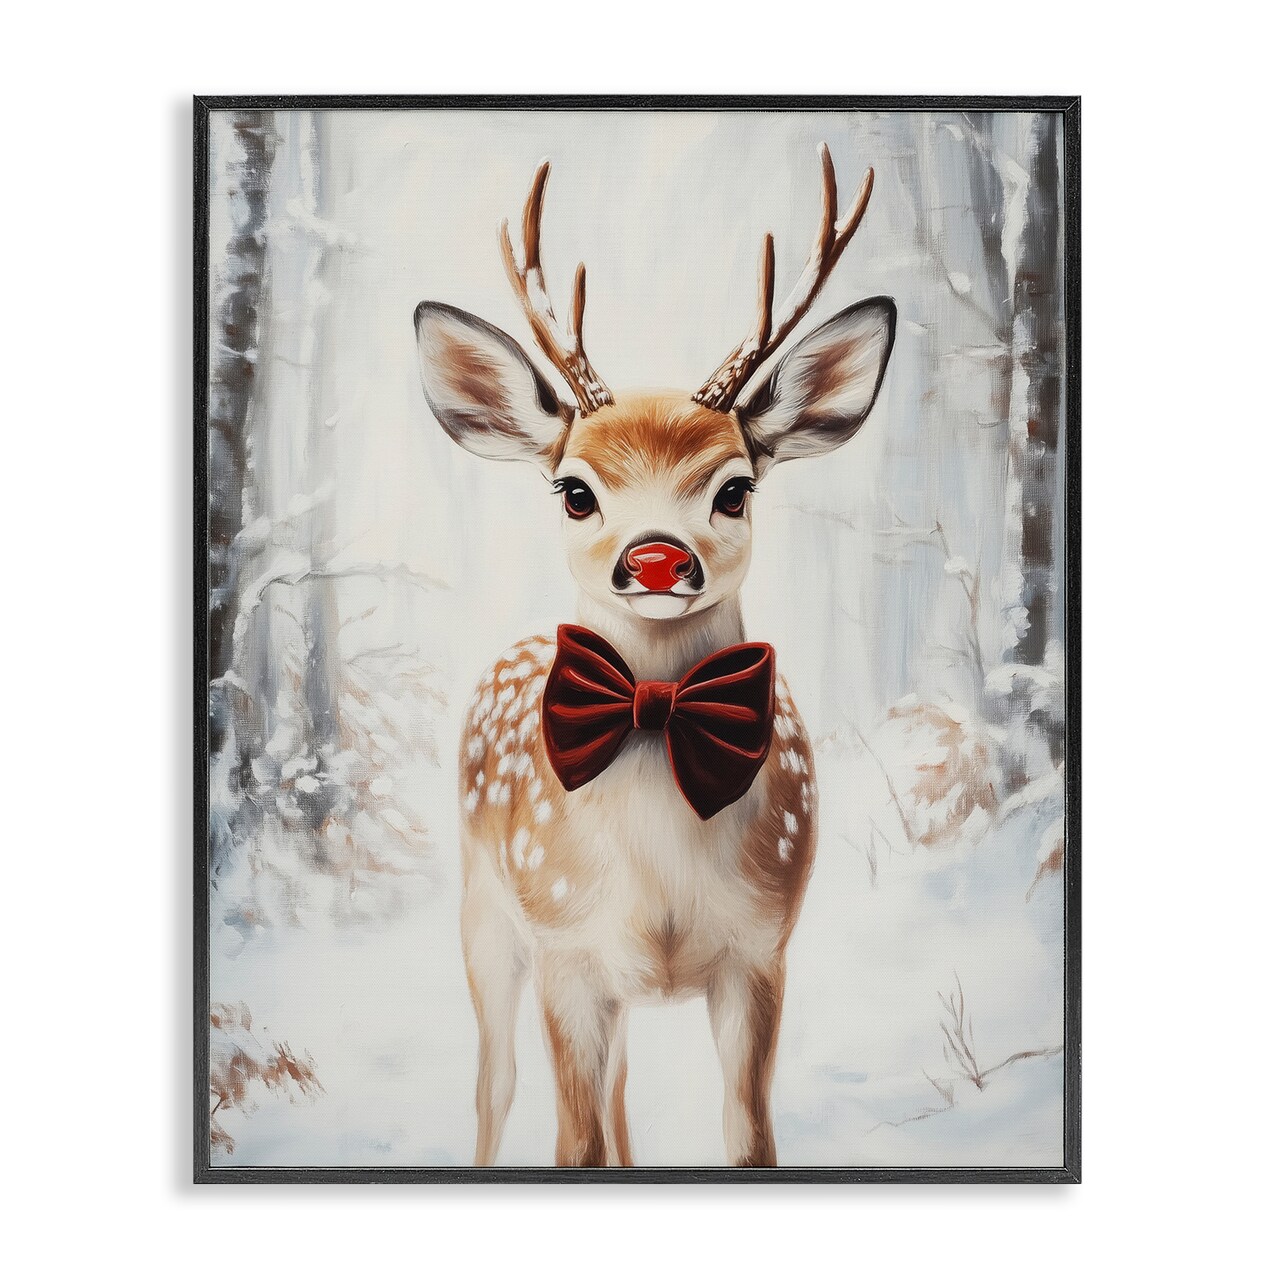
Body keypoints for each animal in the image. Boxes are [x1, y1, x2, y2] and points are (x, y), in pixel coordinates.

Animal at [413, 144, 895, 1168]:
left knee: (623, 1090)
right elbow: (574, 1145)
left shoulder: (763, 949)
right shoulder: (566, 951)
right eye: (575, 491)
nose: (658, 560)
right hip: (484, 913)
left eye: (735, 488)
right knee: (493, 1086)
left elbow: (750, 1142)